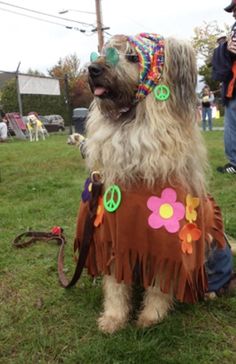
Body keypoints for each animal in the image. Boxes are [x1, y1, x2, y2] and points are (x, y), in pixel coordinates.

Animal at [74, 33, 233, 332]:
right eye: (104, 53)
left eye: (132, 57)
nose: (93, 69)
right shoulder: (113, 235)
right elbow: (116, 284)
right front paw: (114, 317)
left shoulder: (165, 244)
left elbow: (160, 284)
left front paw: (151, 316)